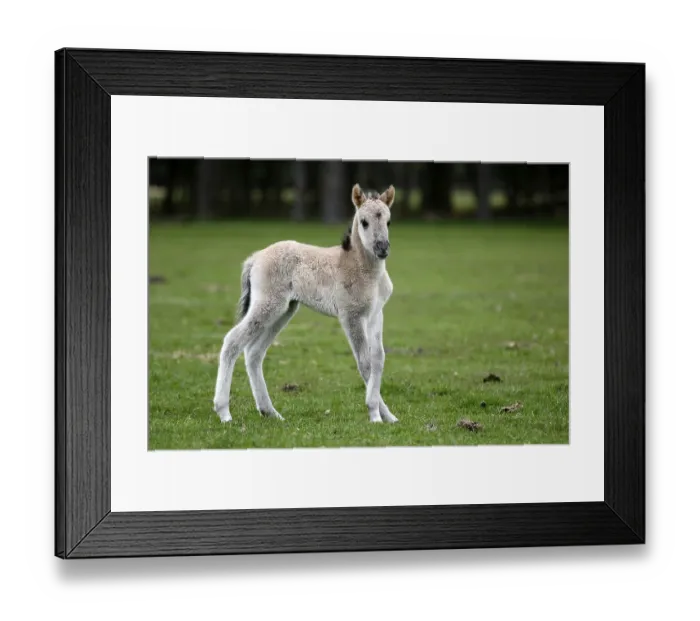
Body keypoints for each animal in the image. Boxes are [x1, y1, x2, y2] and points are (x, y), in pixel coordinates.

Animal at [212, 183, 399, 425]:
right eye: (364, 222)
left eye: (388, 221)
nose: (382, 248)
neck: (364, 269)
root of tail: (255, 258)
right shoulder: (351, 316)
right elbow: (365, 363)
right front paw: (375, 414)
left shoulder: (376, 314)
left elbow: (378, 359)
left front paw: (389, 416)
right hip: (267, 305)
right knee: (232, 341)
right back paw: (224, 411)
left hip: (284, 310)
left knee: (254, 353)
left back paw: (270, 412)